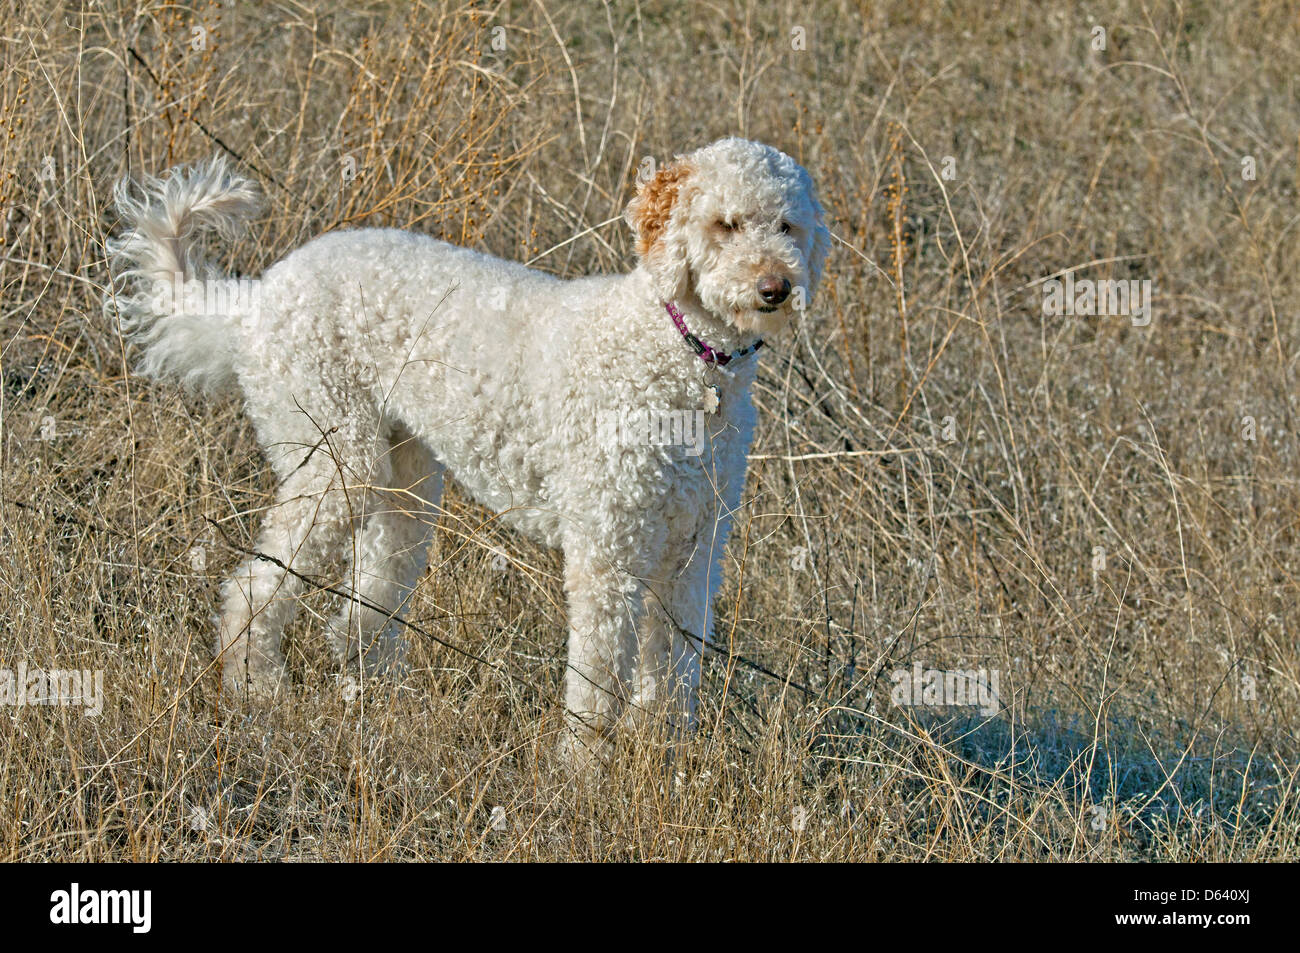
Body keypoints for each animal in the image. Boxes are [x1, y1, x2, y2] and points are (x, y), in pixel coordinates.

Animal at [106, 137, 826, 764]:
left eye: (787, 225)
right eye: (725, 224)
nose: (776, 287)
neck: (680, 354)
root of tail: (258, 298)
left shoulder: (692, 552)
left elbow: (674, 673)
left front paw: (666, 764)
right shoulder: (608, 551)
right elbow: (596, 680)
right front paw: (581, 774)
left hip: (403, 483)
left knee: (360, 609)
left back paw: (380, 701)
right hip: (336, 460)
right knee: (254, 583)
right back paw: (255, 685)